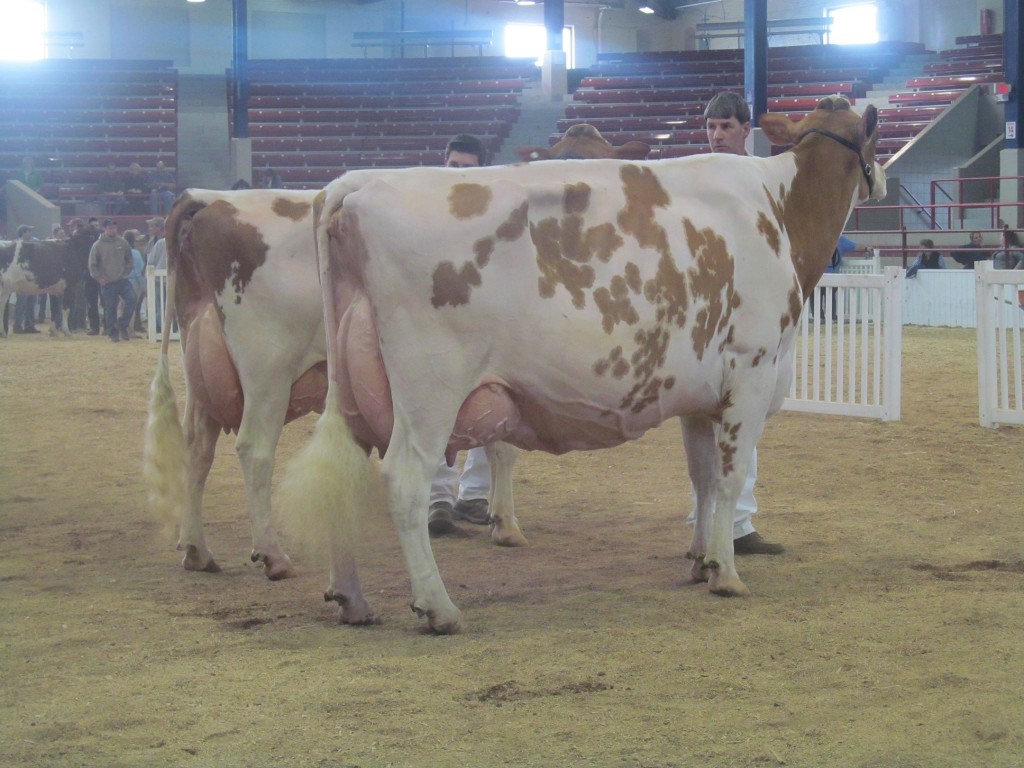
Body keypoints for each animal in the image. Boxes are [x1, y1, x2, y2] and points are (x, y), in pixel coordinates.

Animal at [143, 131, 649, 615]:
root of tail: (207, 198)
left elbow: (495, 443)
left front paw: (494, 516)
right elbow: (502, 448)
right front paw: (505, 524)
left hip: (204, 364)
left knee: (197, 446)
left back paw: (195, 548)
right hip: (267, 366)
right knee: (254, 449)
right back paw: (273, 555)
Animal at [279, 97, 886, 634]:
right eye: (873, 139)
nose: (879, 180)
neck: (779, 211)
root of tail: (356, 184)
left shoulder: (699, 396)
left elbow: (704, 479)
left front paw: (698, 560)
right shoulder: (752, 372)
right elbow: (733, 477)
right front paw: (726, 574)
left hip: (352, 390)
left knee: (344, 474)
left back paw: (352, 598)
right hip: (429, 388)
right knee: (404, 480)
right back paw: (438, 608)